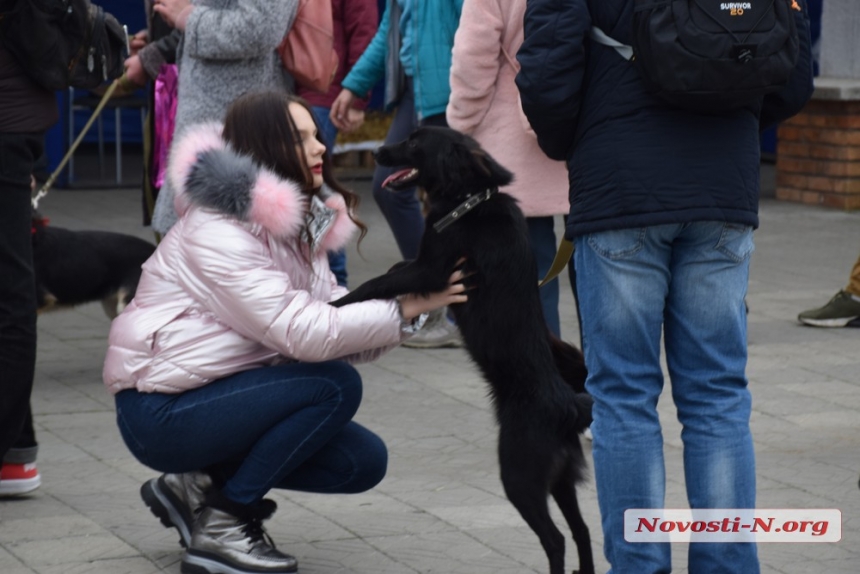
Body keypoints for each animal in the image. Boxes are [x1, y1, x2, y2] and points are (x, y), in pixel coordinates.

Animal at [332, 127, 596, 574]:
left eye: (415, 142)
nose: (378, 152)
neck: (470, 201)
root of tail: (567, 405)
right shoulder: (423, 264)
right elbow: (394, 269)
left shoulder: (432, 268)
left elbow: (377, 282)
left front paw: (335, 304)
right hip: (561, 480)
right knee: (583, 531)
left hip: (520, 476)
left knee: (556, 538)